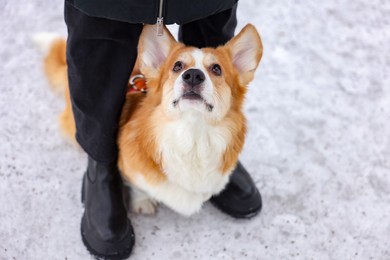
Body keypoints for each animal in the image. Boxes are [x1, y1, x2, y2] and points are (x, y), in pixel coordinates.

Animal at [35, 23, 264, 215]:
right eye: (177, 66)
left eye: (216, 69)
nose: (193, 75)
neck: (192, 133)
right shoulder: (130, 169)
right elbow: (138, 186)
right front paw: (142, 202)